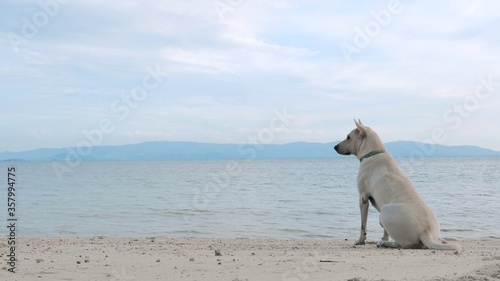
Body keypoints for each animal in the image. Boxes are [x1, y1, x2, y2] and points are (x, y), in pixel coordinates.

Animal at [336, 118, 460, 249]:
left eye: (348, 137)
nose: (335, 147)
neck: (373, 153)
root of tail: (425, 231)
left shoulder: (363, 199)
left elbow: (362, 225)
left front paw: (360, 240)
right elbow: (385, 231)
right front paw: (382, 238)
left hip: (385, 211)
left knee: (401, 244)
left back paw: (385, 243)